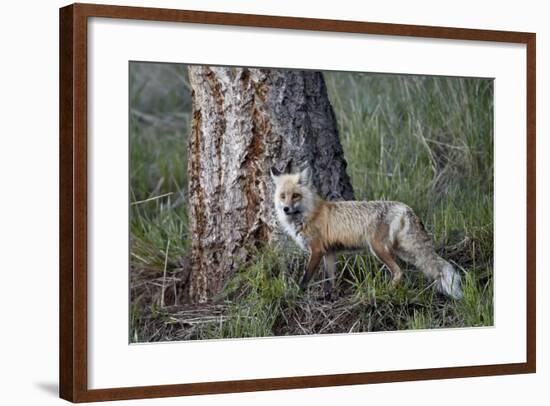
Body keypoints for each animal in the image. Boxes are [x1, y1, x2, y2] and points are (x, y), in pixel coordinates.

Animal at [272, 164, 466, 298]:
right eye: (283, 196)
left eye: (295, 196)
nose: (286, 209)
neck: (310, 213)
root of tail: (404, 207)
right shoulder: (329, 252)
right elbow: (329, 280)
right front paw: (328, 297)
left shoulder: (317, 250)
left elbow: (305, 278)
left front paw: (297, 293)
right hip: (404, 252)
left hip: (378, 248)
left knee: (399, 272)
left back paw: (385, 291)